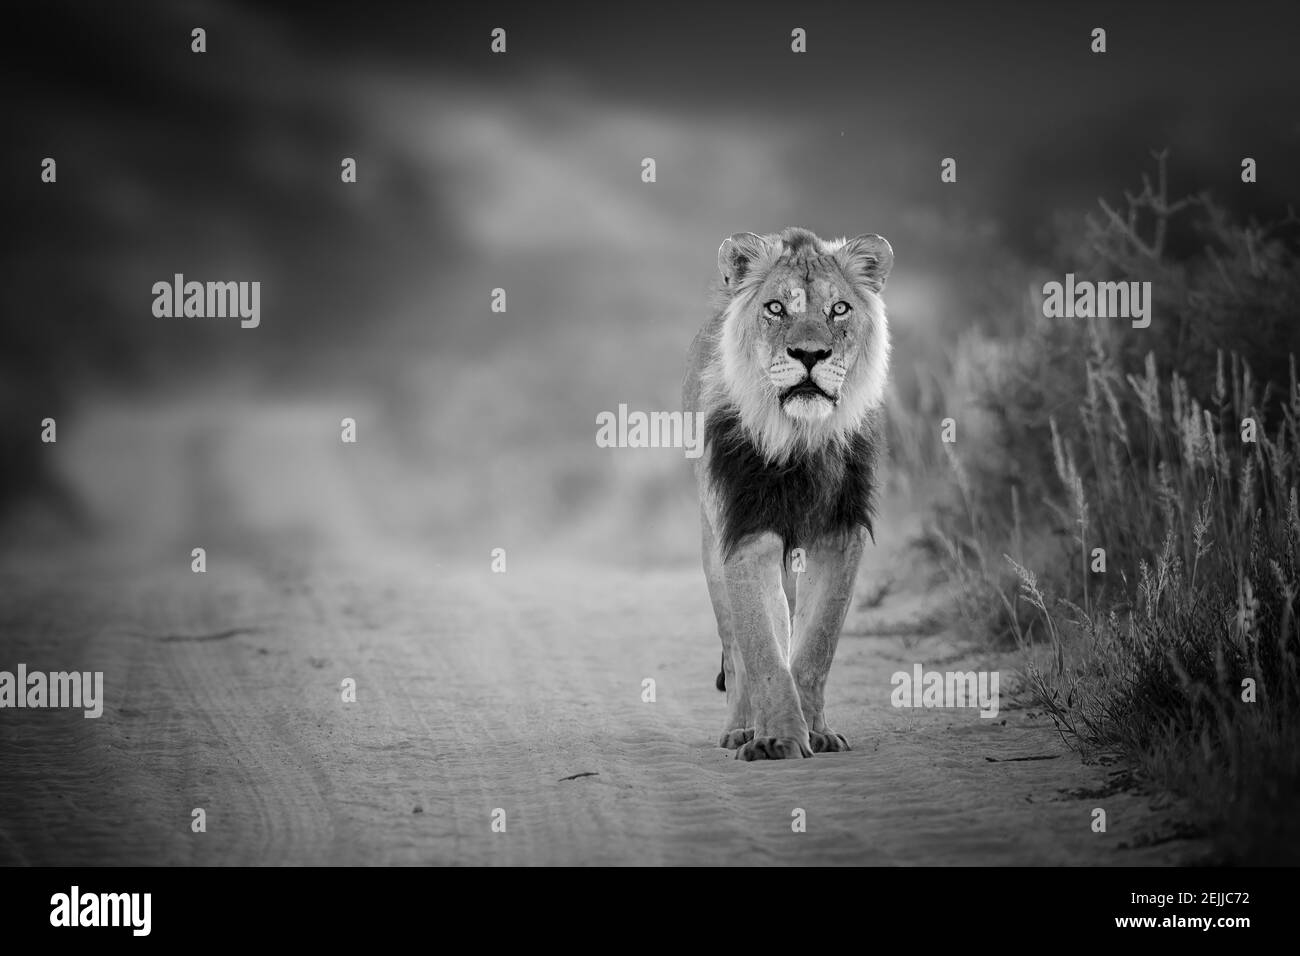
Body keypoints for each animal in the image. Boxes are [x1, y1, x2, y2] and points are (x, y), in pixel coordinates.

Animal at [681, 223, 894, 764]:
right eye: (776, 308)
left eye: (839, 309)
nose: (811, 355)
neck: (800, 436)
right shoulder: (745, 533)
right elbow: (762, 649)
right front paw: (775, 738)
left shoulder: (840, 535)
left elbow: (816, 645)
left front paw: (816, 732)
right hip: (711, 546)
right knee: (736, 648)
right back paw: (741, 728)